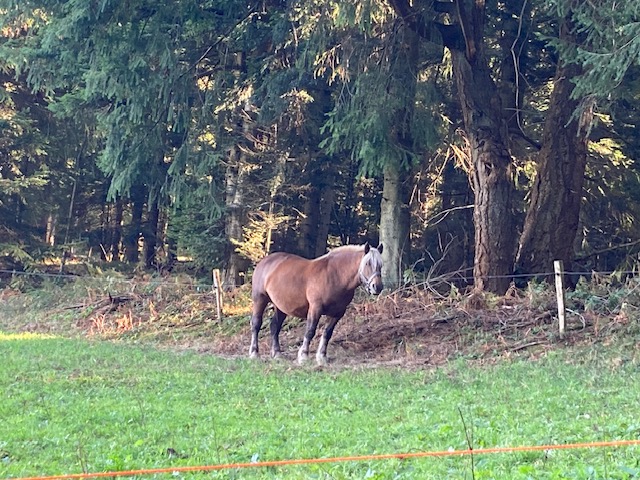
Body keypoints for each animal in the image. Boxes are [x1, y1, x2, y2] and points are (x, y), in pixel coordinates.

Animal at [249, 242, 380, 366]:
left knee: (274, 326)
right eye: (368, 264)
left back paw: (277, 354)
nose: (377, 287)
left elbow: (327, 333)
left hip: (281, 307)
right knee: (256, 324)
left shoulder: (338, 313)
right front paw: (303, 356)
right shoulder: (315, 309)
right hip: (260, 299)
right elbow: (310, 331)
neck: (334, 275)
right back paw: (254, 353)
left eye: (380, 265)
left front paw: (321, 357)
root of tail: (265, 261)